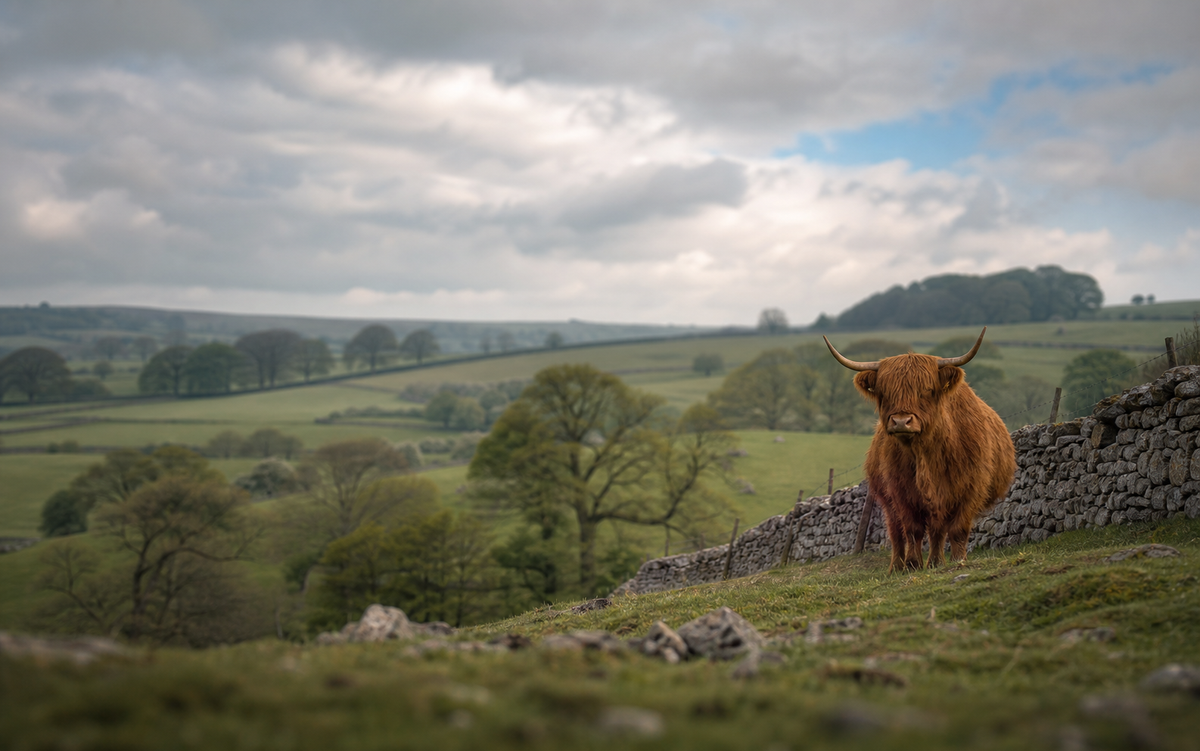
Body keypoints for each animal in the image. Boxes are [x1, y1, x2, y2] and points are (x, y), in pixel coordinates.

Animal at [824, 328, 1016, 571]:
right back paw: (897, 566)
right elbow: (912, 530)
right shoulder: (901, 492)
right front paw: (913, 564)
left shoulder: (970, 488)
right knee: (896, 532)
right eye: (884, 392)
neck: (926, 453)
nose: (901, 421)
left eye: (926, 389)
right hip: (887, 500)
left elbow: (955, 529)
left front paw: (953, 561)